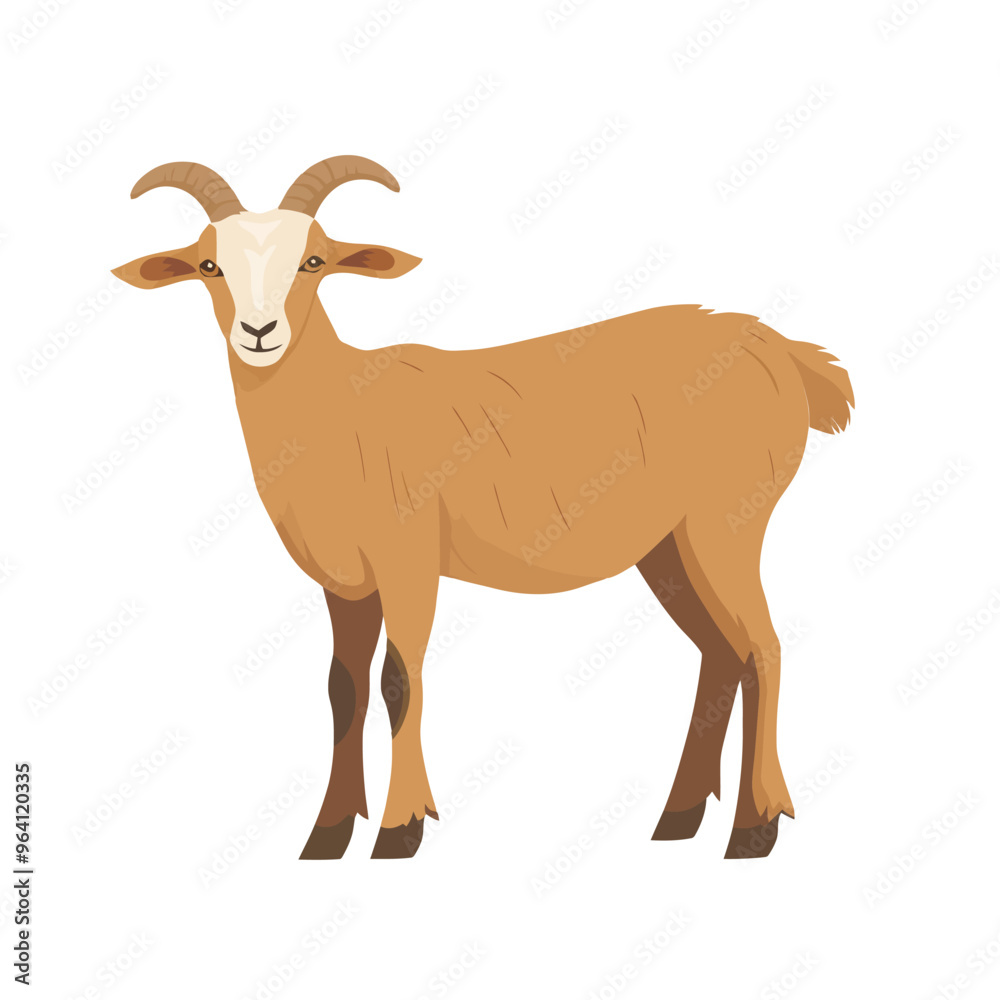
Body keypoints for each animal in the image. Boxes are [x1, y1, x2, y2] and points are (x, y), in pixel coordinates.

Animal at [114, 156, 854, 860]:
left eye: (314, 261)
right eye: (209, 265)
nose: (260, 331)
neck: (342, 407)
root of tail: (783, 351)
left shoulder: (409, 560)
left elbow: (399, 680)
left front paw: (399, 832)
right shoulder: (346, 583)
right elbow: (342, 690)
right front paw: (326, 838)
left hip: (727, 521)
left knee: (763, 648)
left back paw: (754, 830)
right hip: (667, 548)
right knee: (721, 654)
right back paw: (678, 821)